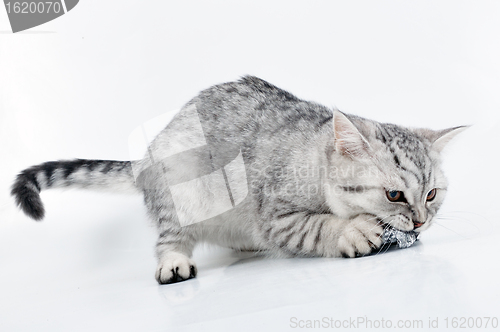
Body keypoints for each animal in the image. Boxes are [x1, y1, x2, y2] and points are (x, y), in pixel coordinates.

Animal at [10, 76, 464, 284]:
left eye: (432, 195)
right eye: (394, 195)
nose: (420, 221)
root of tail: (144, 159)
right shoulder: (277, 215)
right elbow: (319, 225)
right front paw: (353, 231)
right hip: (181, 194)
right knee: (168, 239)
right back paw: (173, 263)